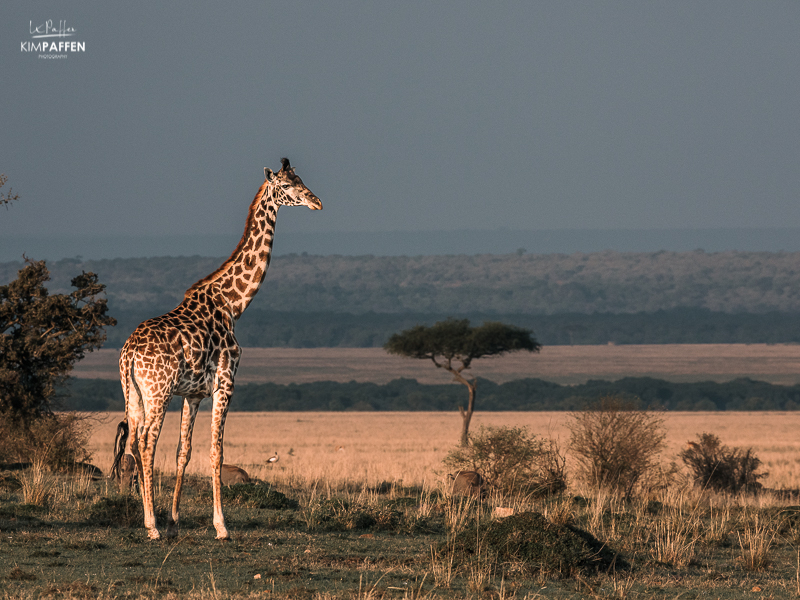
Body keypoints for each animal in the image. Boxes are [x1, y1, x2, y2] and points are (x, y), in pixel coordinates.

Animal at [110, 158, 322, 540]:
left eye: (301, 178)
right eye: (287, 185)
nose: (316, 202)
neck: (232, 305)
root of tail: (129, 353)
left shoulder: (193, 394)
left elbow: (184, 451)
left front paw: (175, 521)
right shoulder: (225, 384)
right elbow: (216, 453)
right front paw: (221, 526)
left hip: (133, 393)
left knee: (133, 443)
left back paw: (153, 521)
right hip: (158, 391)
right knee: (146, 443)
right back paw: (151, 527)